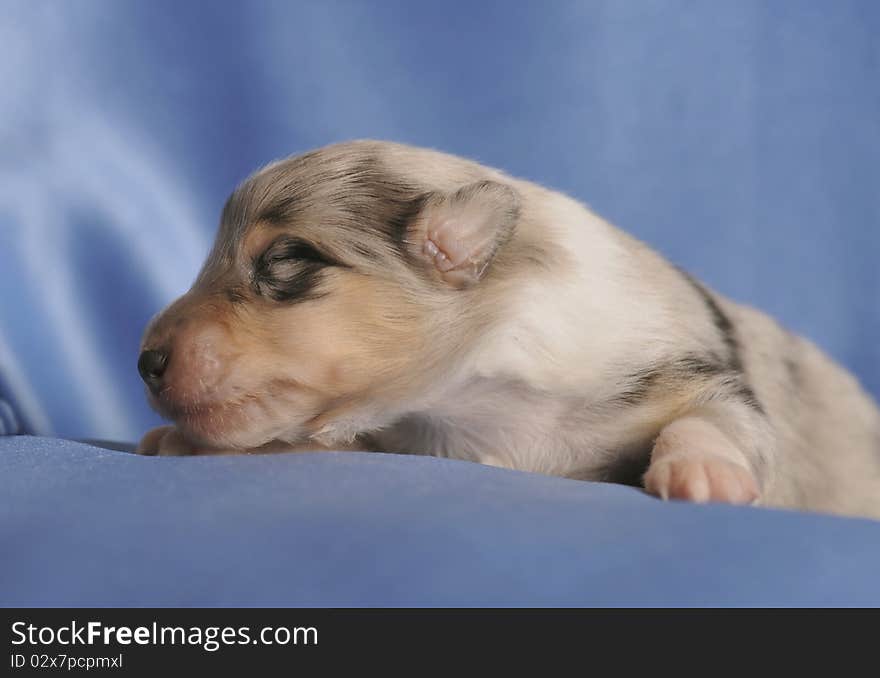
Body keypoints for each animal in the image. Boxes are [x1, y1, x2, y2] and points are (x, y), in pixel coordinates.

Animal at [138, 139, 880, 520]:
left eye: (284, 261)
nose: (144, 361)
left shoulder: (692, 375)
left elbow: (718, 418)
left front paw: (703, 474)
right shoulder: (399, 433)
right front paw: (175, 440)